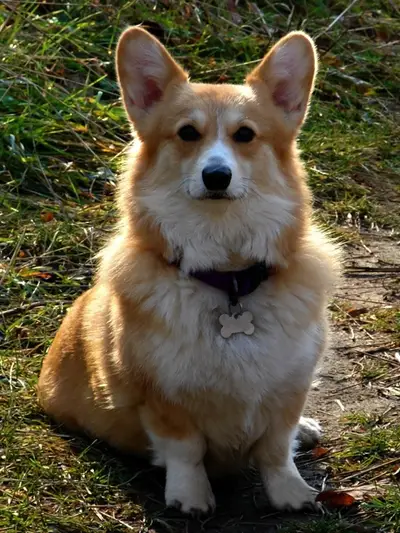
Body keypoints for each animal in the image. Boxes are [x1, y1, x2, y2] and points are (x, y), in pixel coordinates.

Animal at [37, 27, 340, 512]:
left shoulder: (289, 387)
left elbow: (276, 448)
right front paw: (190, 497)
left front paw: (291, 493)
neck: (229, 277)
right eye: (187, 133)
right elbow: (186, 450)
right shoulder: (162, 398)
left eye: (245, 134)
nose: (216, 176)